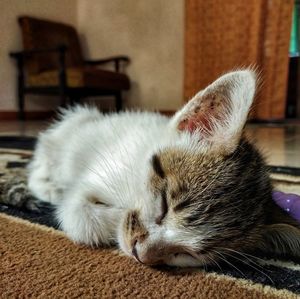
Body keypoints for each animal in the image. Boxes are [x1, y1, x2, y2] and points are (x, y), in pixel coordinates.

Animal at [27, 70, 298, 268]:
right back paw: (47, 185)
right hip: (73, 124)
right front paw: (115, 216)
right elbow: (79, 215)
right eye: (164, 206)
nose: (140, 253)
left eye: (187, 254)